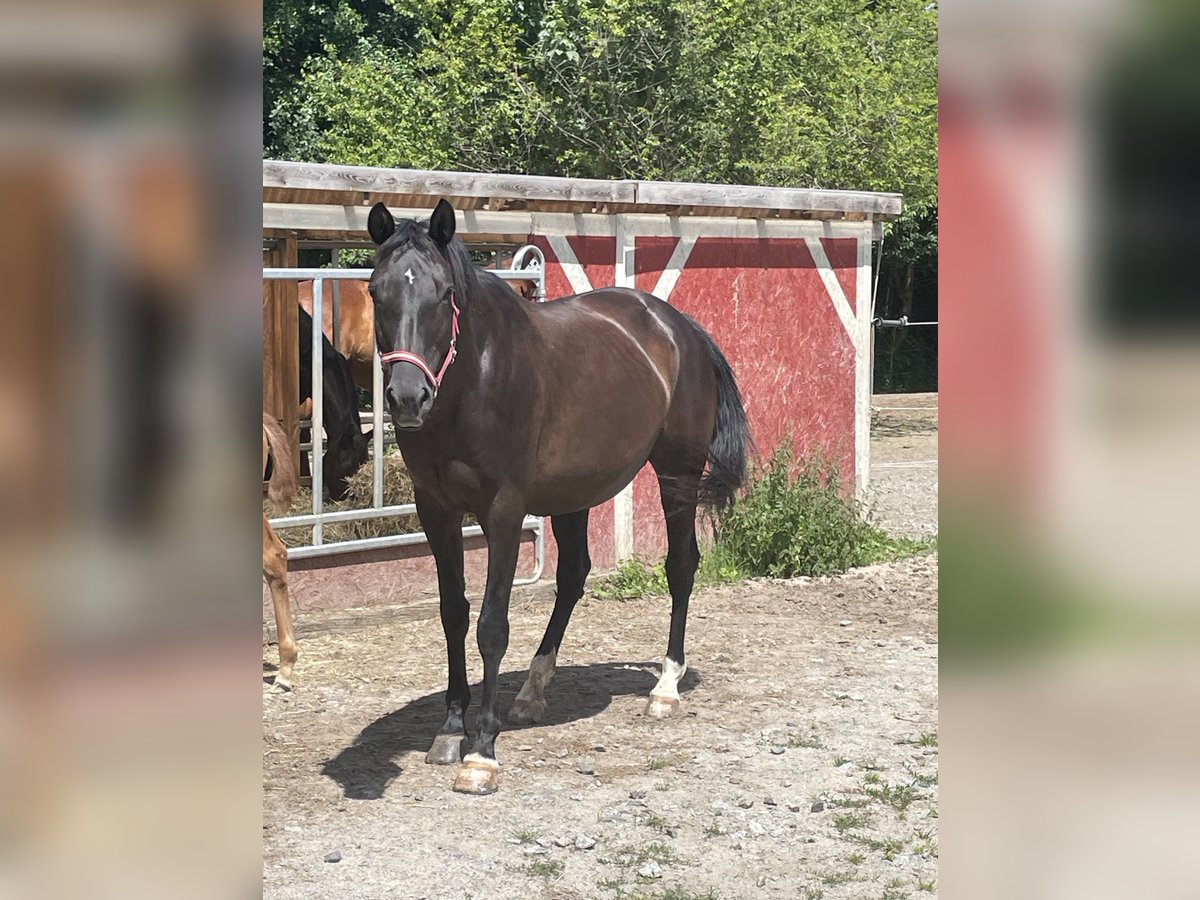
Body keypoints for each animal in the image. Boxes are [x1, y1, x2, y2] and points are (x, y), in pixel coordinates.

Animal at [364, 199, 744, 796]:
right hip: (573, 494)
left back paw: (665, 686)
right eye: (375, 291)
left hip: (677, 475)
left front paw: (482, 752)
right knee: (573, 576)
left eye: (444, 294)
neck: (473, 379)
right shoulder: (436, 511)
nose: (407, 396)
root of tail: (679, 326)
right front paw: (451, 729)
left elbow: (491, 626)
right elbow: (453, 613)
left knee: (681, 567)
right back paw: (533, 690)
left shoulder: (503, 512)